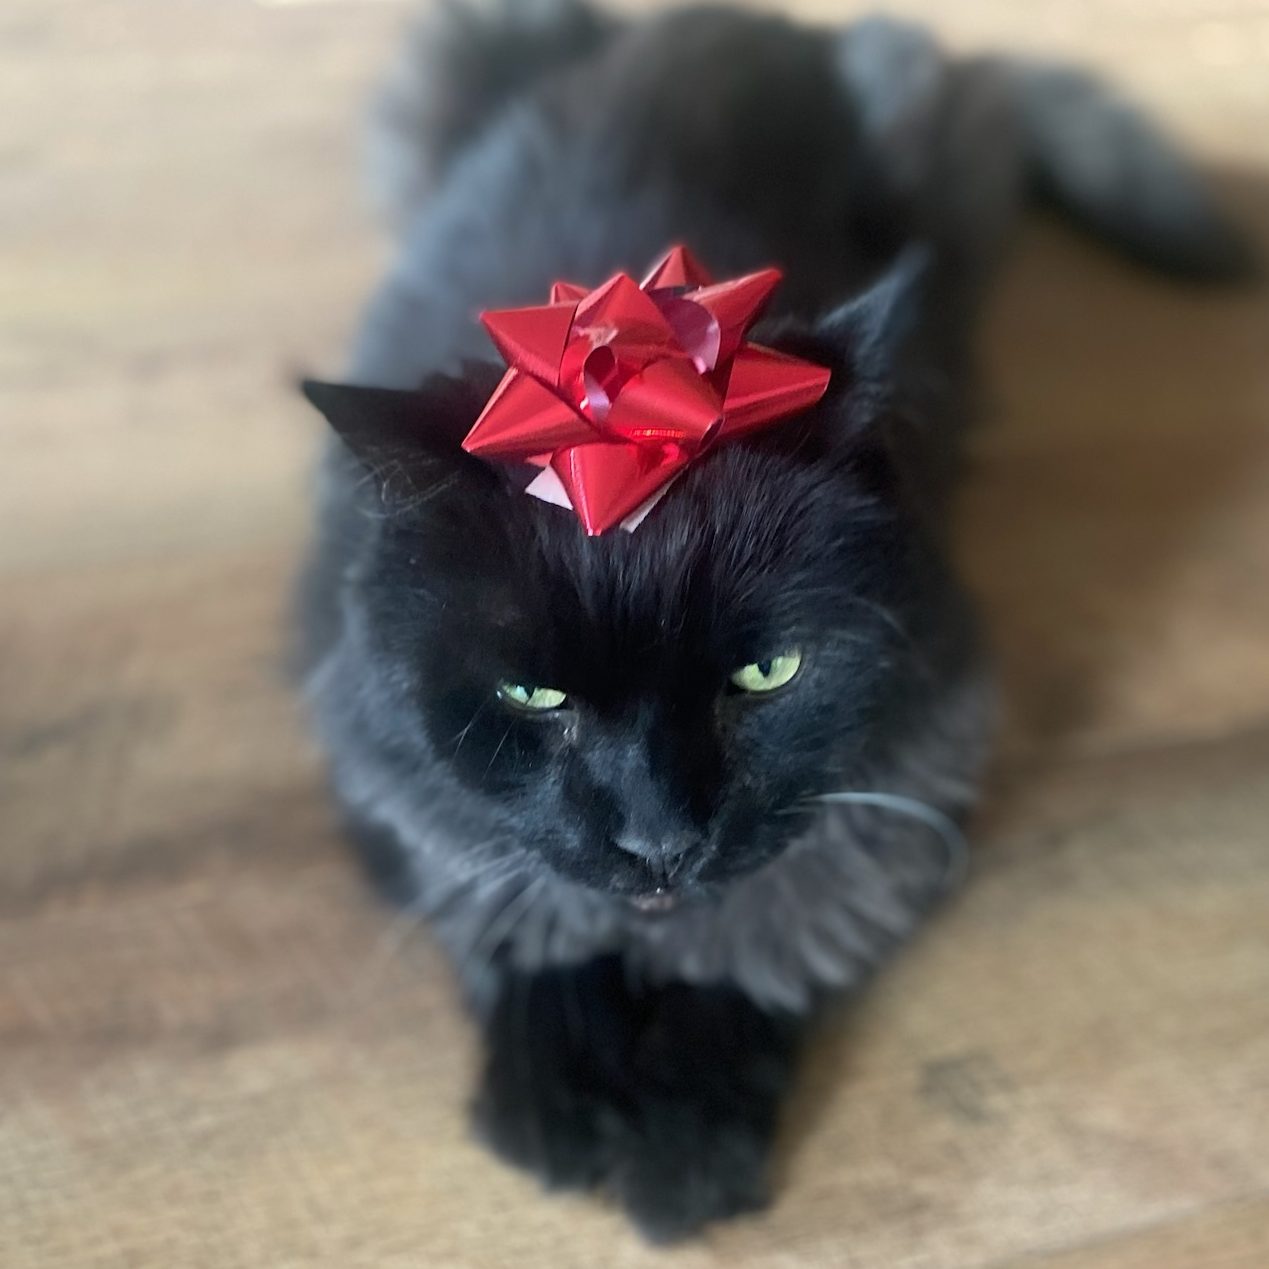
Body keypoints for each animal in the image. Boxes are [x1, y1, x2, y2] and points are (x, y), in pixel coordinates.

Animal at [299, 1, 1251, 1242]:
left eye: (767, 675)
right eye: (531, 694)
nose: (660, 838)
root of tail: (736, 23)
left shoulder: (920, 761)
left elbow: (767, 937)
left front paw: (685, 1147)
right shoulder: (386, 777)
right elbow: (520, 906)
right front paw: (558, 1102)